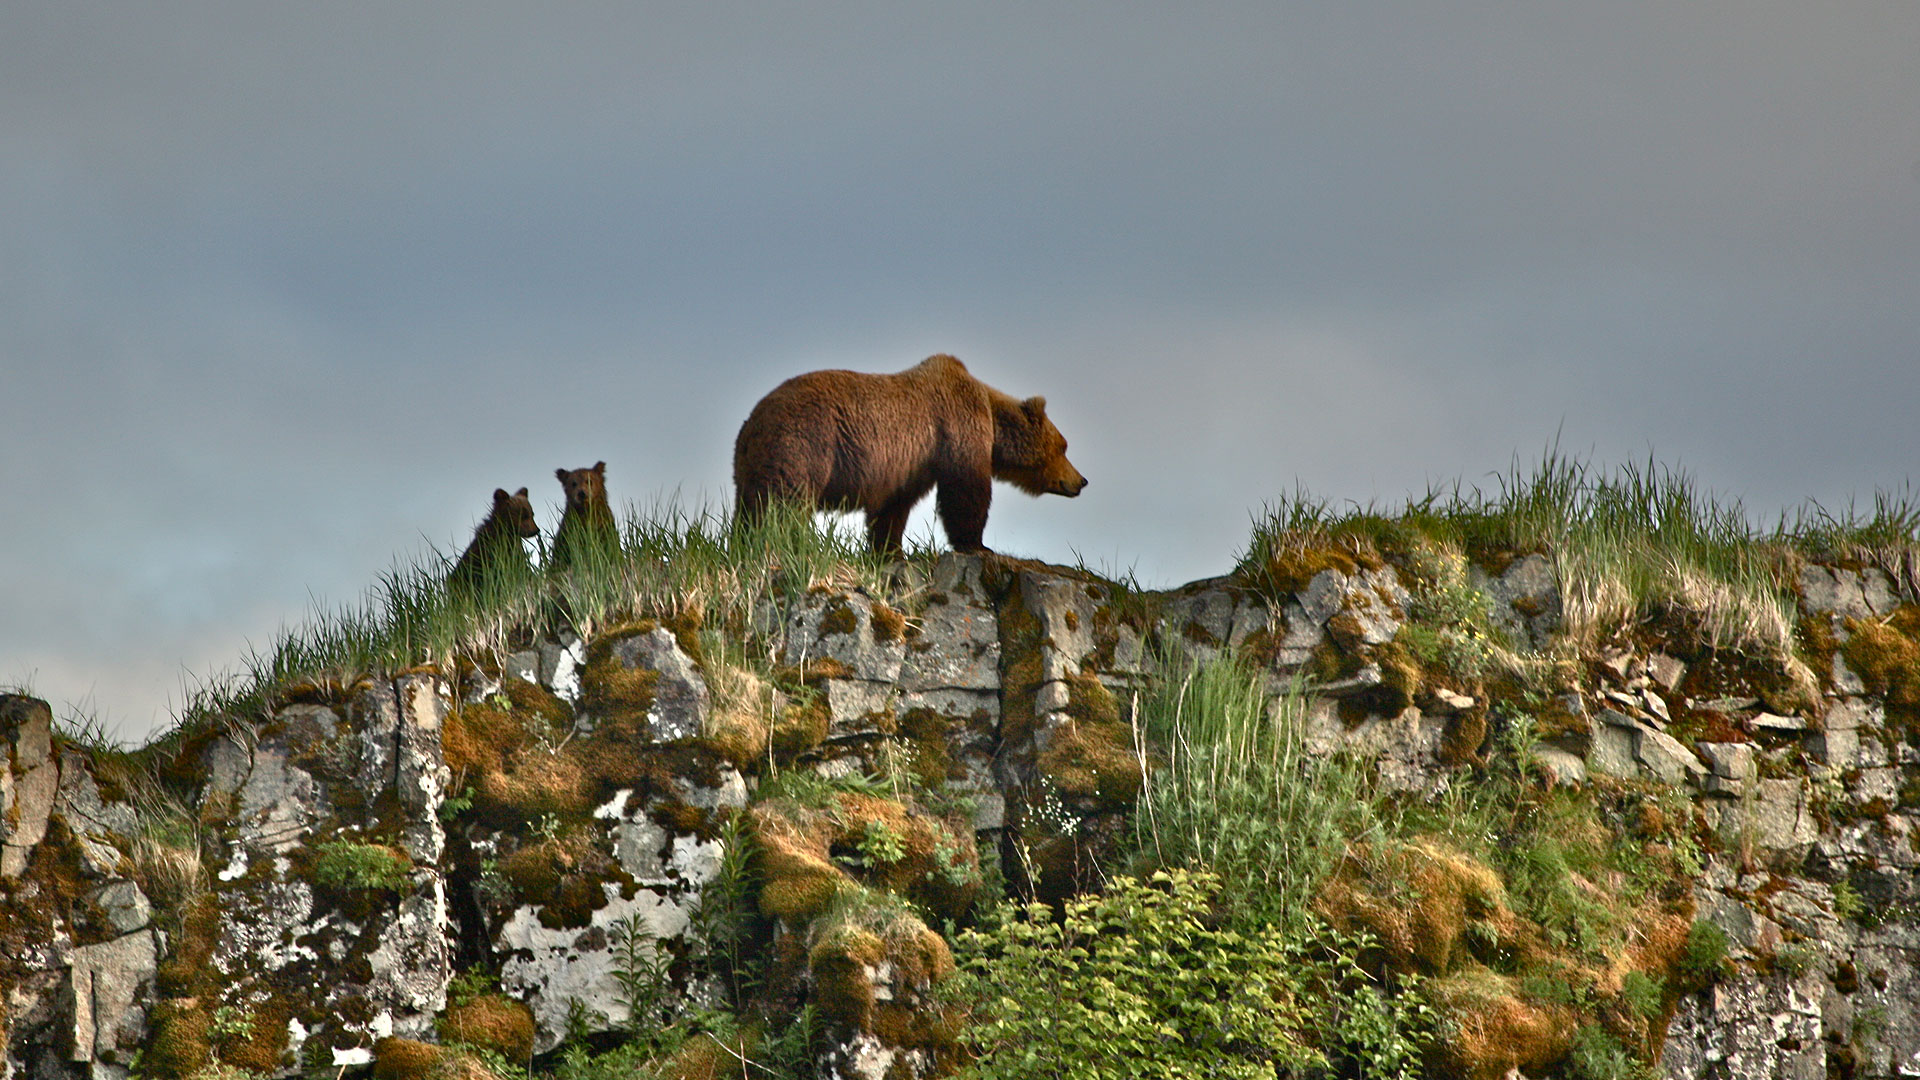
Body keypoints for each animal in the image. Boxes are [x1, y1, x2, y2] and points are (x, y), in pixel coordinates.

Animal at [733, 354, 1087, 554]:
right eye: (1064, 446)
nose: (1081, 480)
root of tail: (751, 424)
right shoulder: (955, 427)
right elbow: (966, 489)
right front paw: (977, 543)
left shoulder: (911, 466)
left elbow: (894, 507)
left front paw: (888, 549)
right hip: (805, 443)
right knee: (784, 502)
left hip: (751, 465)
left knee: (748, 507)